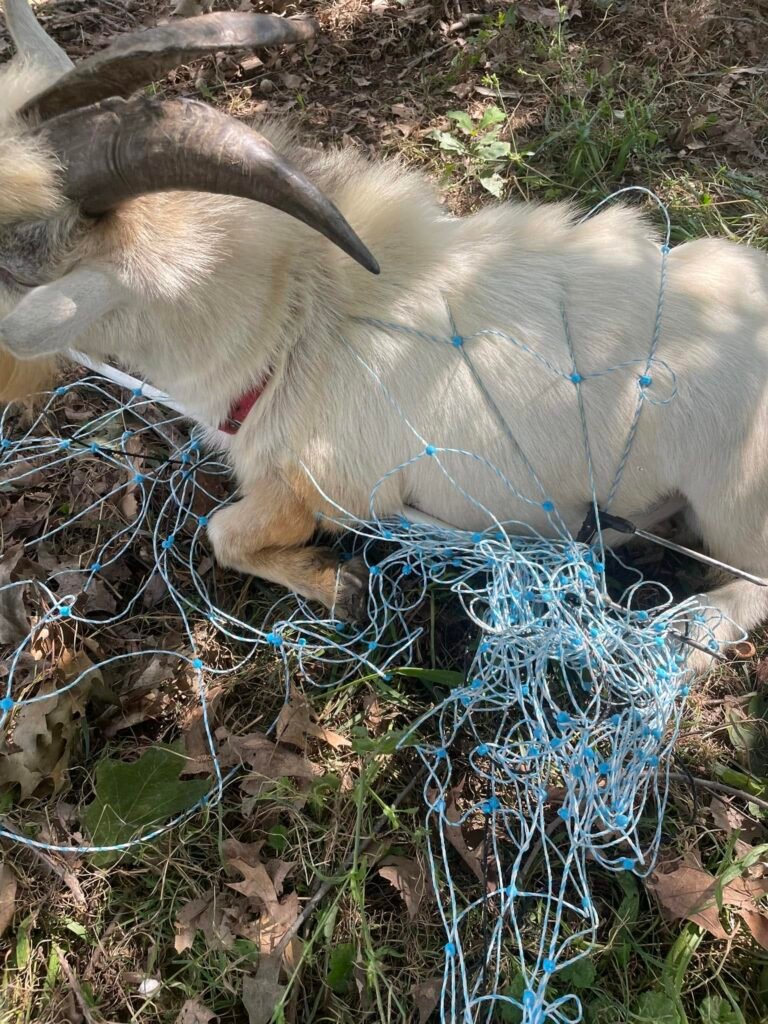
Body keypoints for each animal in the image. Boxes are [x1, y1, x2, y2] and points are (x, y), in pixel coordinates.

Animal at [1, 1, 767, 674]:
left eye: (14, 263)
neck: (295, 319)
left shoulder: (327, 488)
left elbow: (225, 534)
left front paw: (343, 587)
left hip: (731, 503)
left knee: (751, 584)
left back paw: (689, 632)